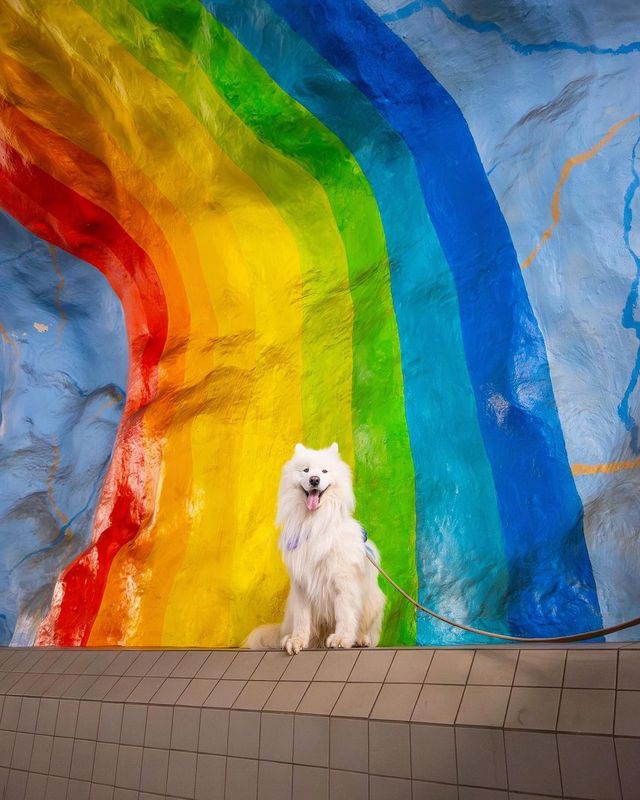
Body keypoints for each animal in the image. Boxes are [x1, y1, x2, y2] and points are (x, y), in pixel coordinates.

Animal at [245, 440, 384, 652]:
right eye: (306, 470)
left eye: (325, 471)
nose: (314, 480)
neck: (314, 523)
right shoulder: (302, 585)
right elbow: (303, 620)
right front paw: (297, 640)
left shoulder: (342, 582)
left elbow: (345, 614)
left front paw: (342, 639)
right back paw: (290, 638)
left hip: (372, 602)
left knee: (364, 628)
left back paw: (360, 638)